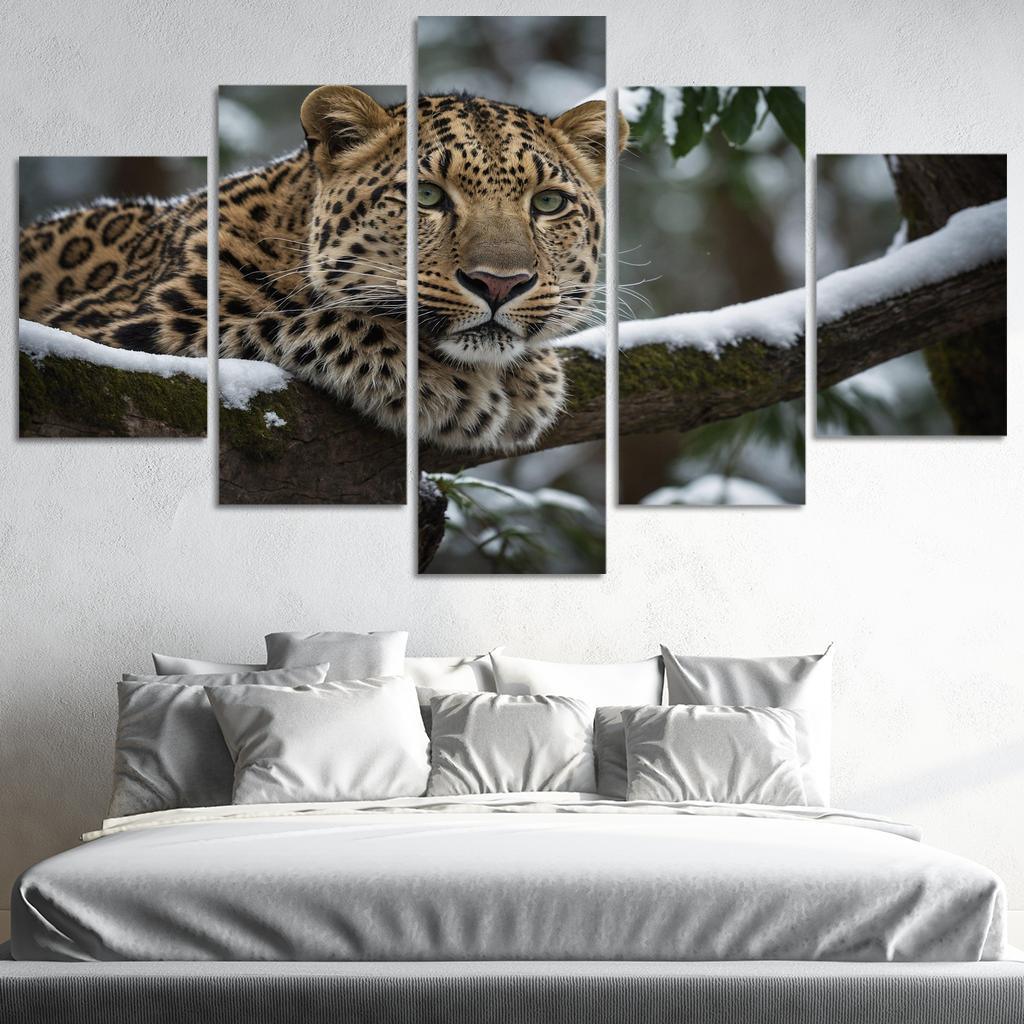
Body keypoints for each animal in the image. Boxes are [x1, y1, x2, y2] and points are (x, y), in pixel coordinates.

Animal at [18, 87, 628, 453]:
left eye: (548, 203)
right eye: (427, 196)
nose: (500, 283)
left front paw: (532, 376)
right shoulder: (110, 332)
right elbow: (304, 318)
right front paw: (449, 385)